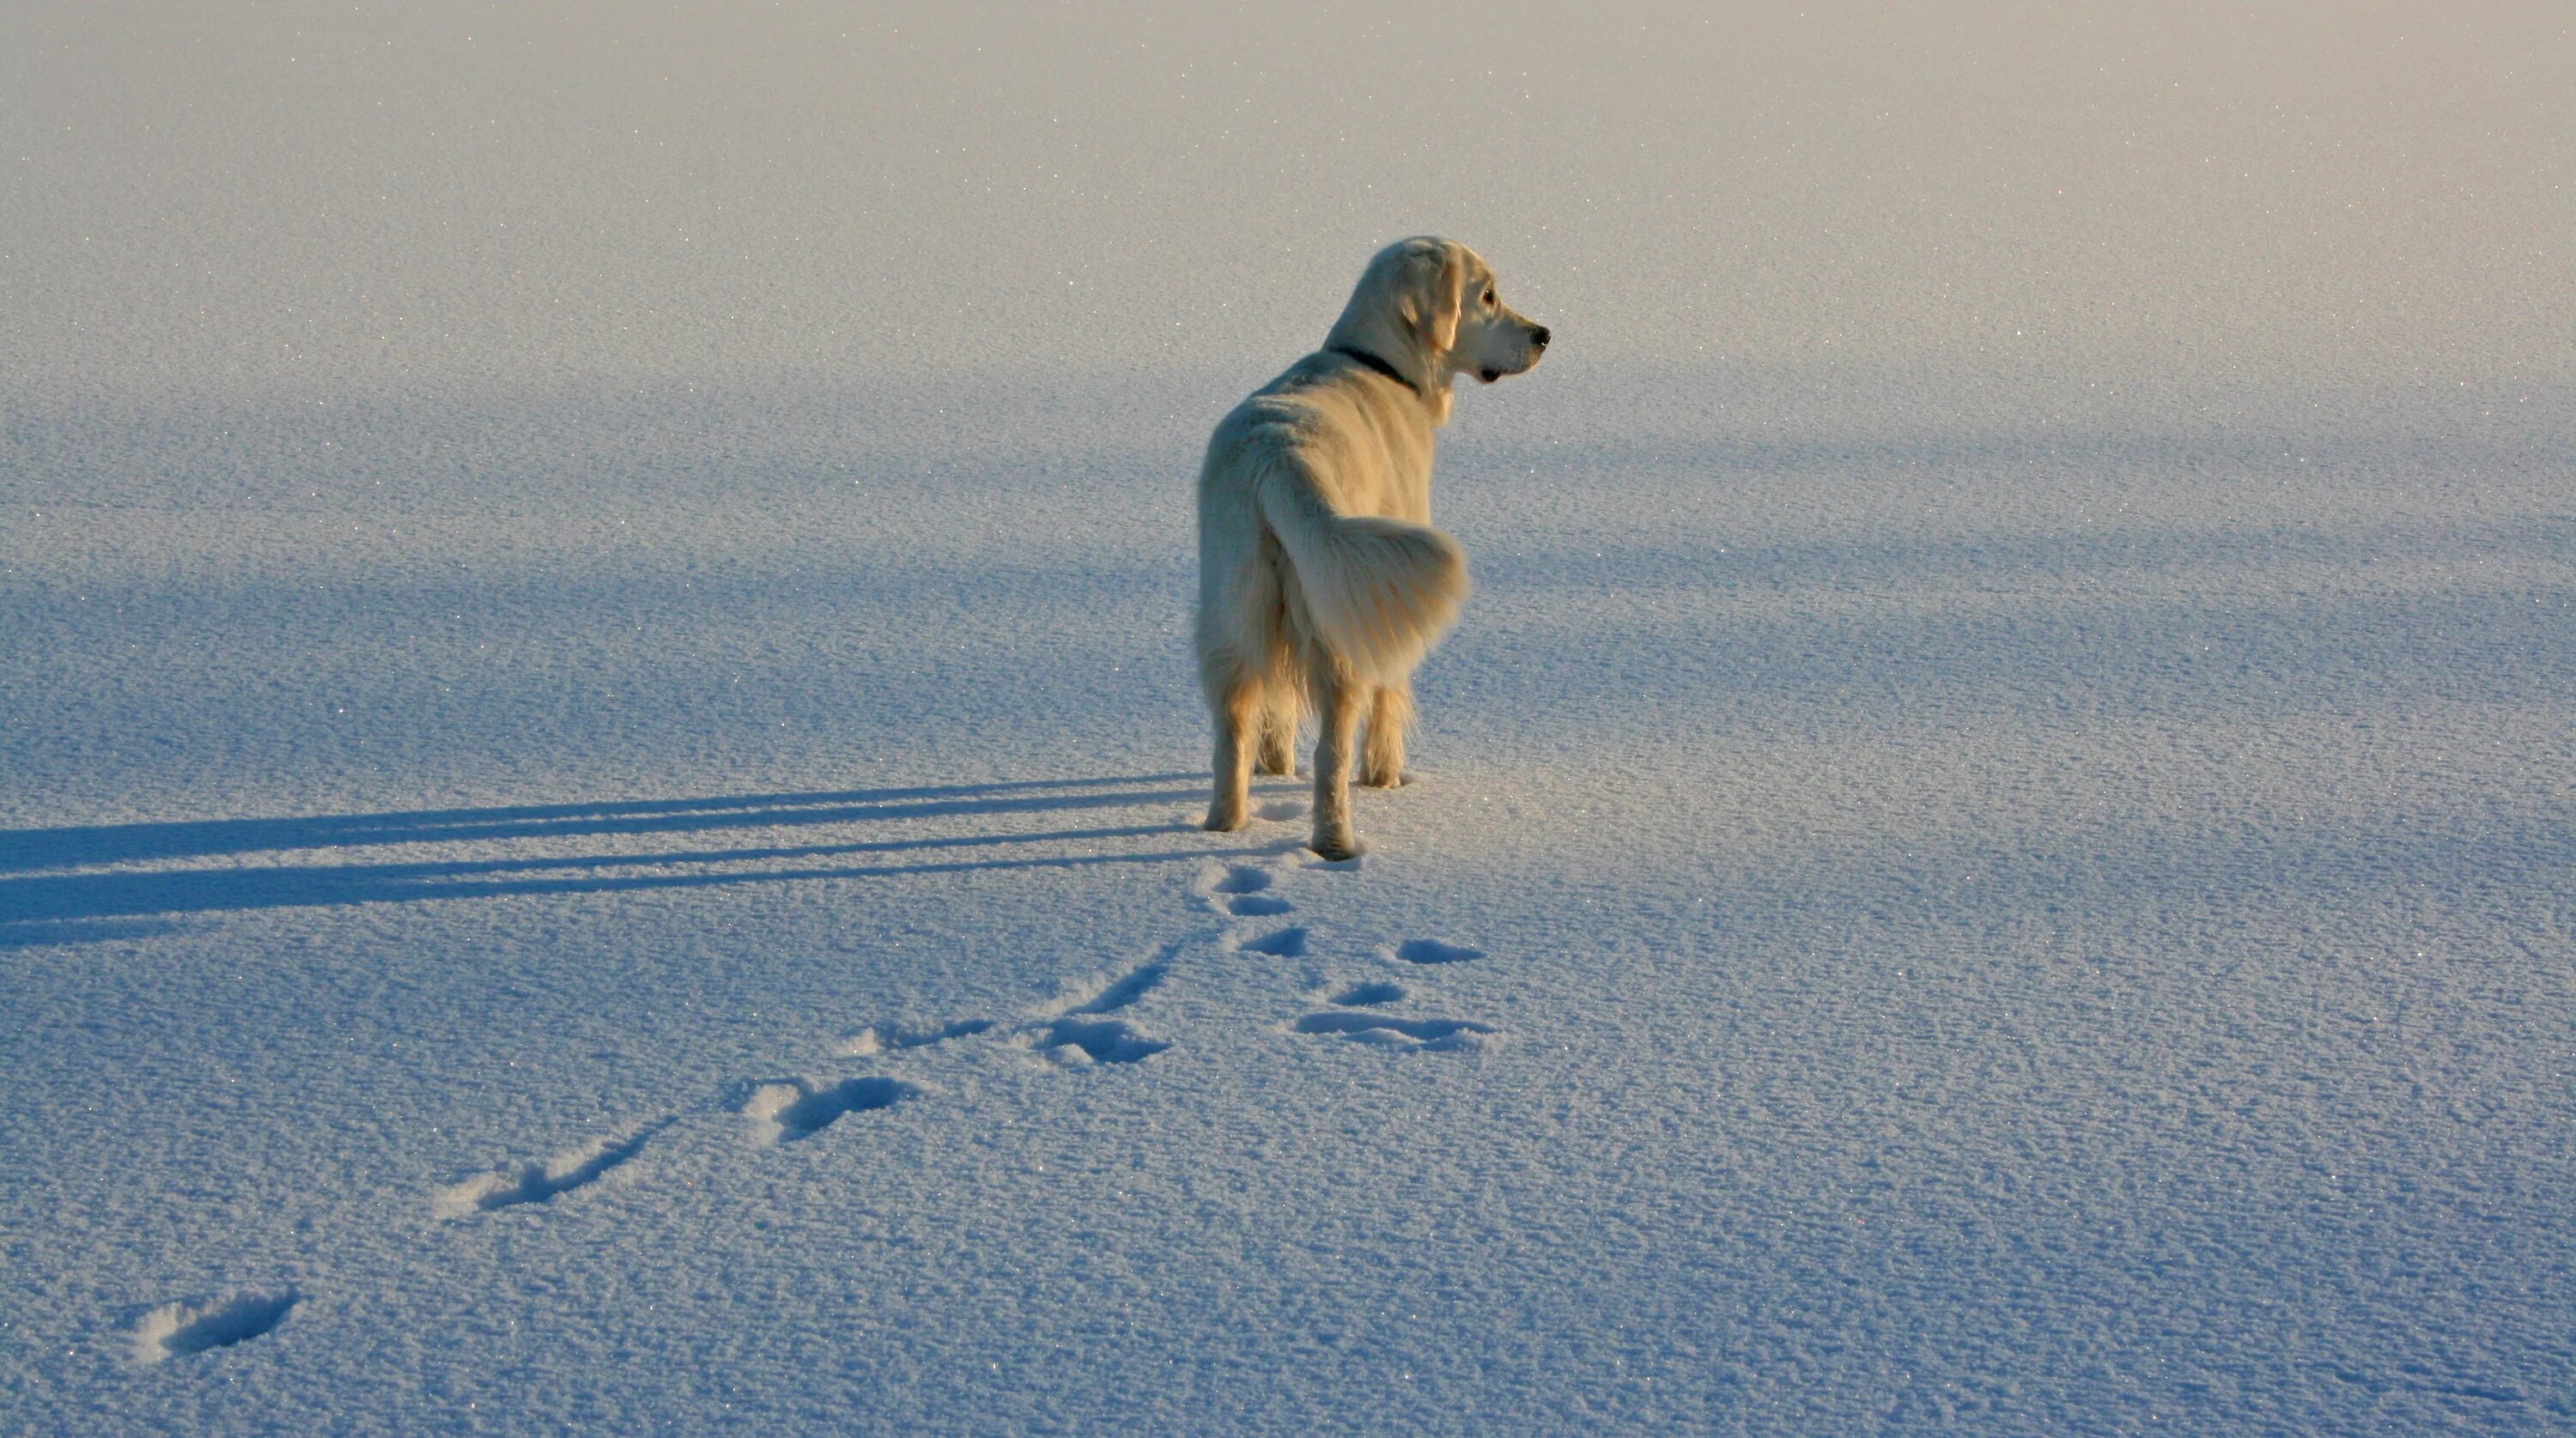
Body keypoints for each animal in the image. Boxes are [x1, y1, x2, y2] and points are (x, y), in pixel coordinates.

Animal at [1190, 238, 1546, 860]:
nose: (1543, 335)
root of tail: (1275, 460)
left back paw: (1226, 825)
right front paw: (1386, 778)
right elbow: (1391, 695)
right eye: (1487, 295)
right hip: (1336, 623)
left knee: (1232, 729)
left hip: (1232, 610)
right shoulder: (1381, 587)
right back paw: (1336, 841)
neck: (1382, 366)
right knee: (1332, 749)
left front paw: (1275, 769)